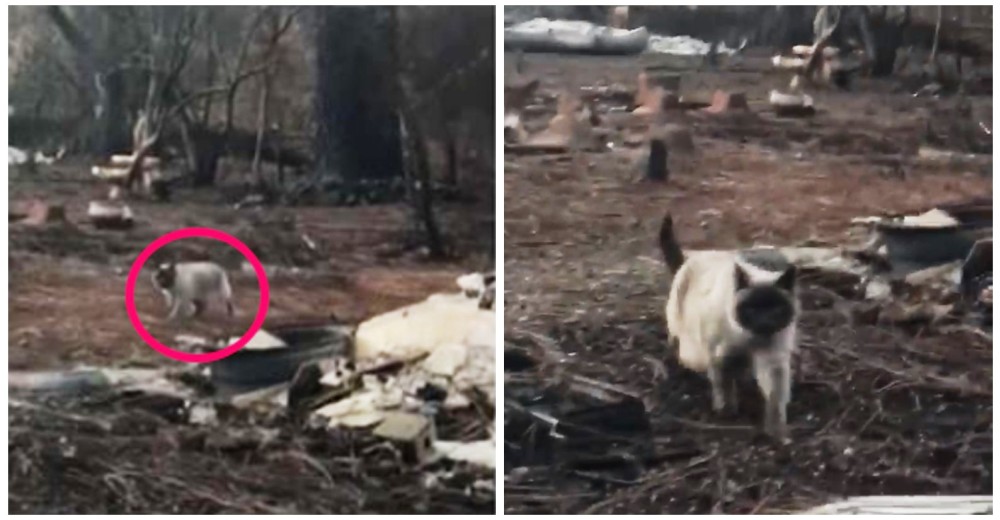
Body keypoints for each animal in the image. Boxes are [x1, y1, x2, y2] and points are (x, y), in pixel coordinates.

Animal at [660, 213, 800, 440]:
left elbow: (775, 399)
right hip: (690, 346)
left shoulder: (773, 360)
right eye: (752, 308)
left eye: (776, 308)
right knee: (677, 346)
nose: (764, 320)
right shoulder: (721, 357)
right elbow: (724, 387)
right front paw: (727, 413)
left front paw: (776, 432)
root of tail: (690, 260)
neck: (751, 338)